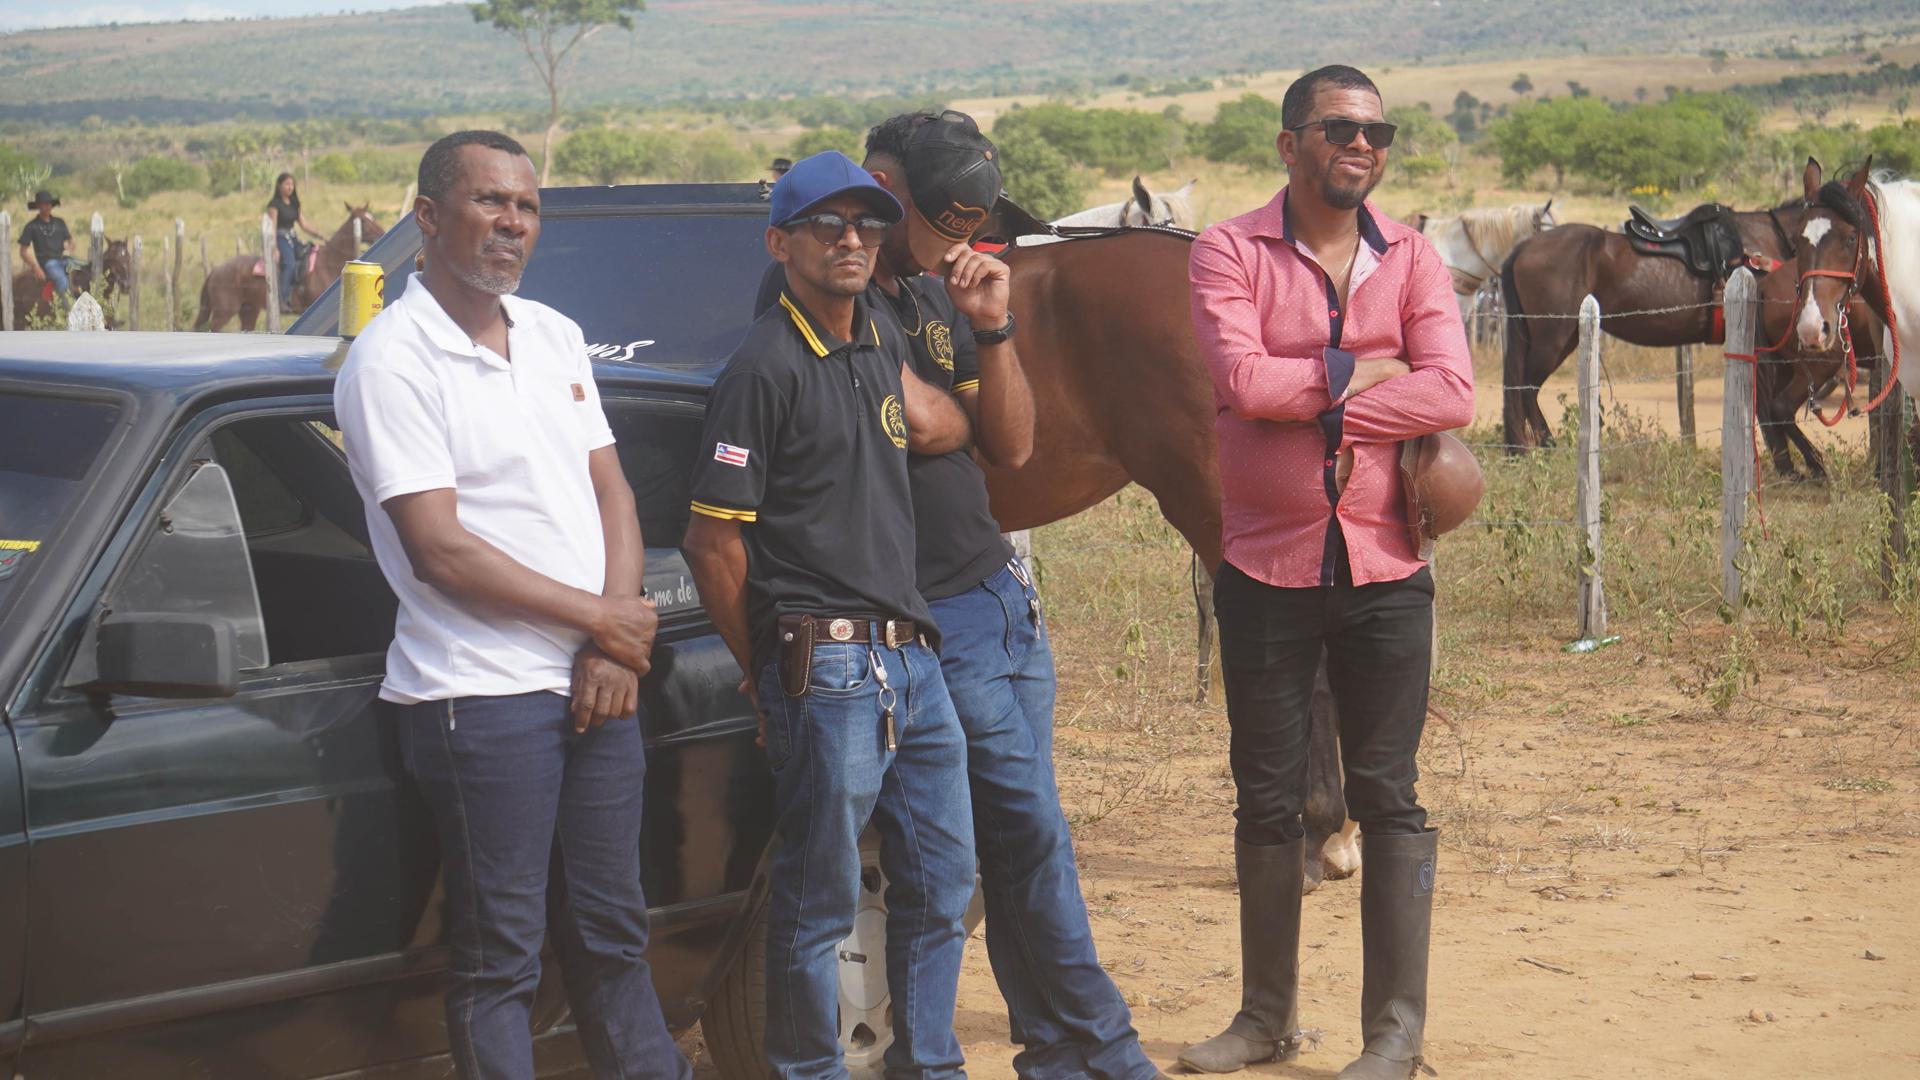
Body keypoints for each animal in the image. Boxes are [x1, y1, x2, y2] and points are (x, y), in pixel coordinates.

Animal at [195, 205, 384, 332]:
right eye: (364, 220)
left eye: (372, 217)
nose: (381, 233)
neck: (328, 262)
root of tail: (215, 271)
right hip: (223, 313)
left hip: (249, 311)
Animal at [1499, 159, 1864, 479]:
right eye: (1853, 232)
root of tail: (1523, 248)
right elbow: (1768, 408)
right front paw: (1793, 468)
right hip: (1554, 338)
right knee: (1526, 387)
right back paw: (1546, 447)